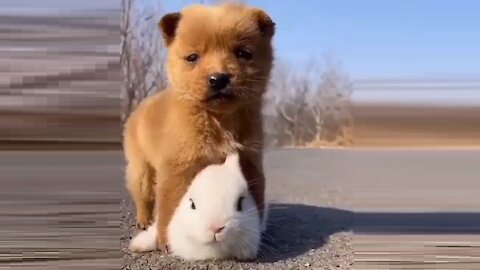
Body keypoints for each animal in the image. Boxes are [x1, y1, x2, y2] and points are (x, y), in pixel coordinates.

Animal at [122, 3, 276, 250]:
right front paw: (167, 241)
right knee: (143, 196)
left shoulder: (250, 159)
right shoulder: (178, 167)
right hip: (141, 168)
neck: (219, 120)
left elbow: (256, 195)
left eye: (243, 53)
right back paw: (143, 220)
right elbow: (170, 205)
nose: (218, 78)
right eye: (192, 57)